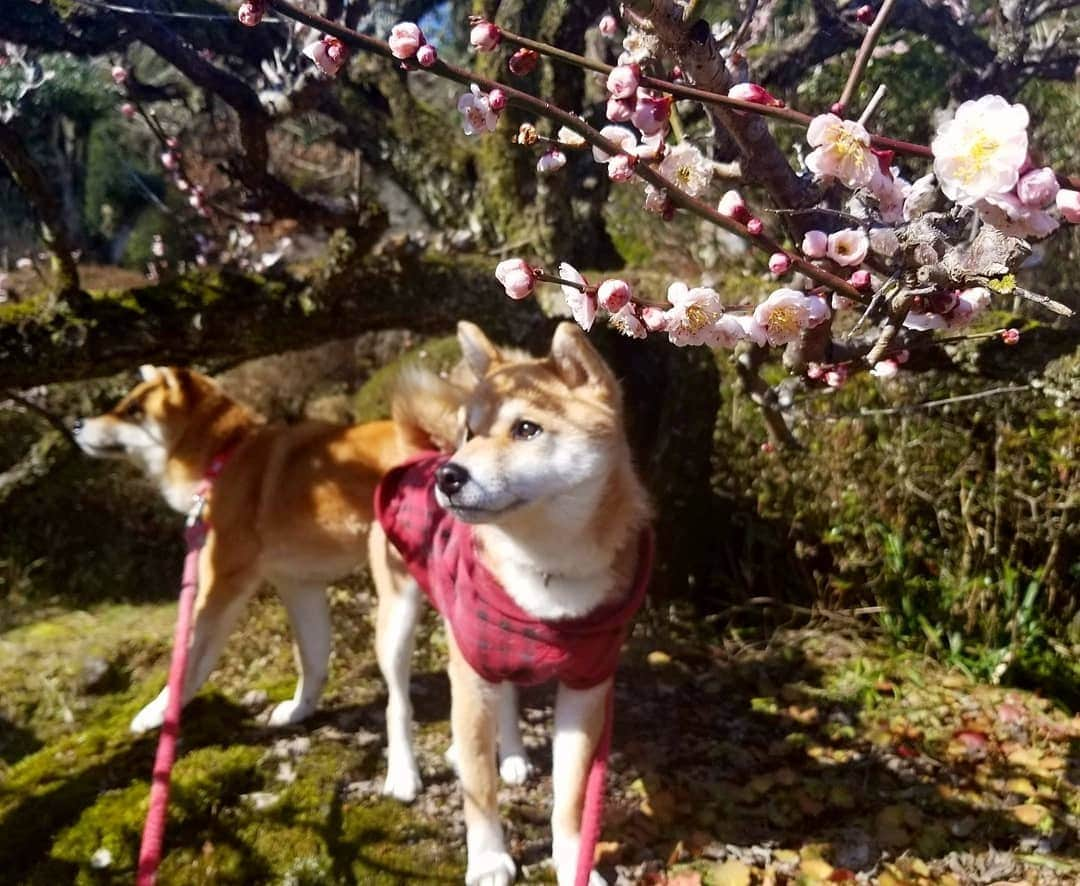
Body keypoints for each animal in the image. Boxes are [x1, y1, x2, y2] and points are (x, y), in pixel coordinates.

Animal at [73, 367, 406, 734]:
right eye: (122, 404)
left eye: (134, 409)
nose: (76, 424)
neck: (224, 460)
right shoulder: (298, 585)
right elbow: (312, 660)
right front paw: (299, 710)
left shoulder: (221, 583)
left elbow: (190, 661)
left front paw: (159, 712)